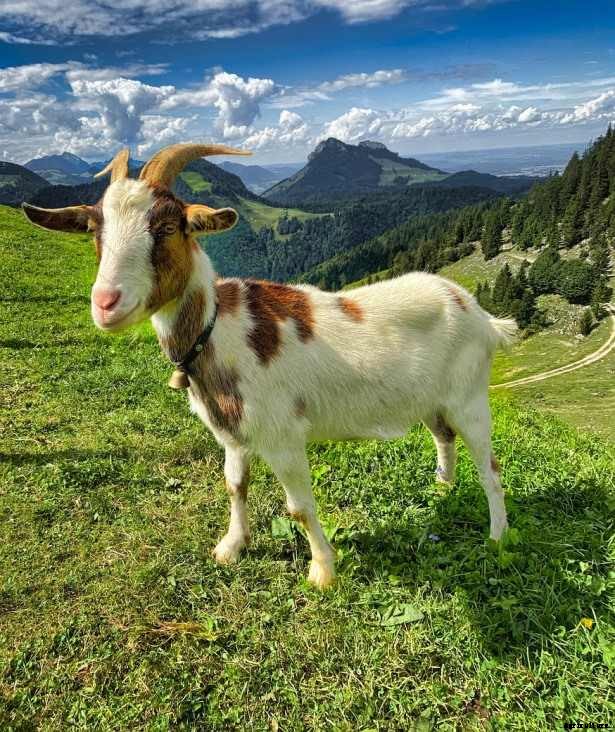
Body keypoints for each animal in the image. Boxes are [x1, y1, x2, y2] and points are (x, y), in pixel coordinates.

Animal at [23, 143, 517, 589]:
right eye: (95, 229)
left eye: (166, 226)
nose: (106, 304)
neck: (218, 330)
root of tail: (481, 314)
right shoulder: (233, 434)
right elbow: (234, 486)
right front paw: (231, 546)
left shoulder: (283, 437)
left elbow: (298, 508)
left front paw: (322, 572)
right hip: (433, 401)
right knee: (444, 437)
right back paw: (442, 489)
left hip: (470, 397)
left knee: (490, 466)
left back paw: (497, 537)